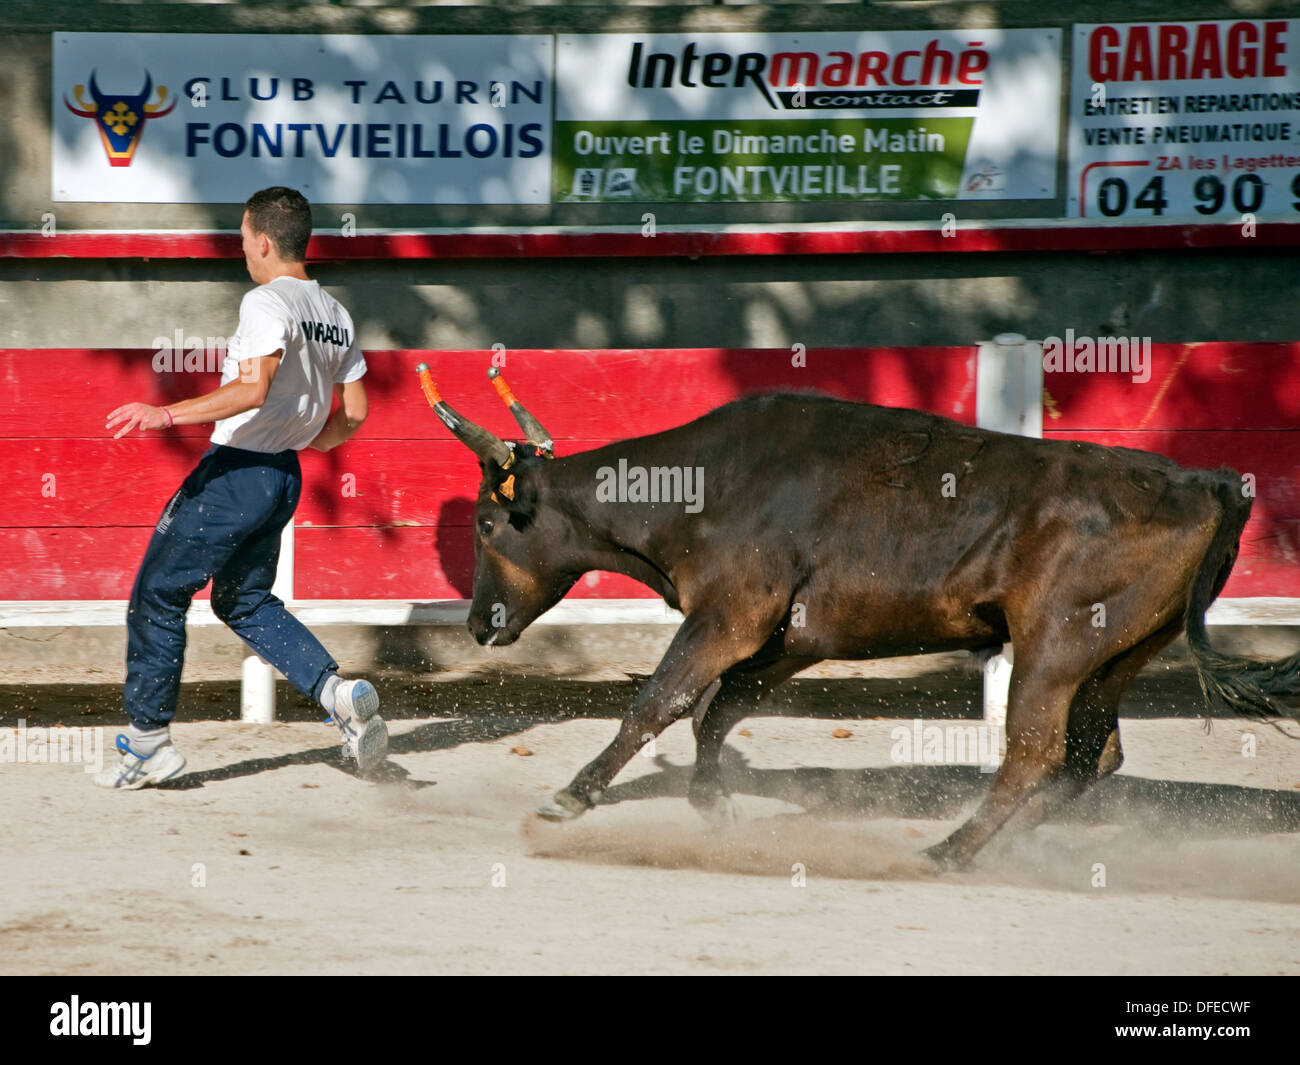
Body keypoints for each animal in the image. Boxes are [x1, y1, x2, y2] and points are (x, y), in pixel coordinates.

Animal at [426, 387, 1300, 868]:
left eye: (485, 523)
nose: (475, 623)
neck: (699, 488)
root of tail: (1206, 480)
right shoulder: (787, 638)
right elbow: (721, 710)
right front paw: (715, 805)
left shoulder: (730, 616)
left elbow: (661, 701)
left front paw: (568, 798)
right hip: (1115, 655)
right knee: (1092, 755)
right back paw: (1004, 848)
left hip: (1052, 649)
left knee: (1035, 754)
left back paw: (945, 852)